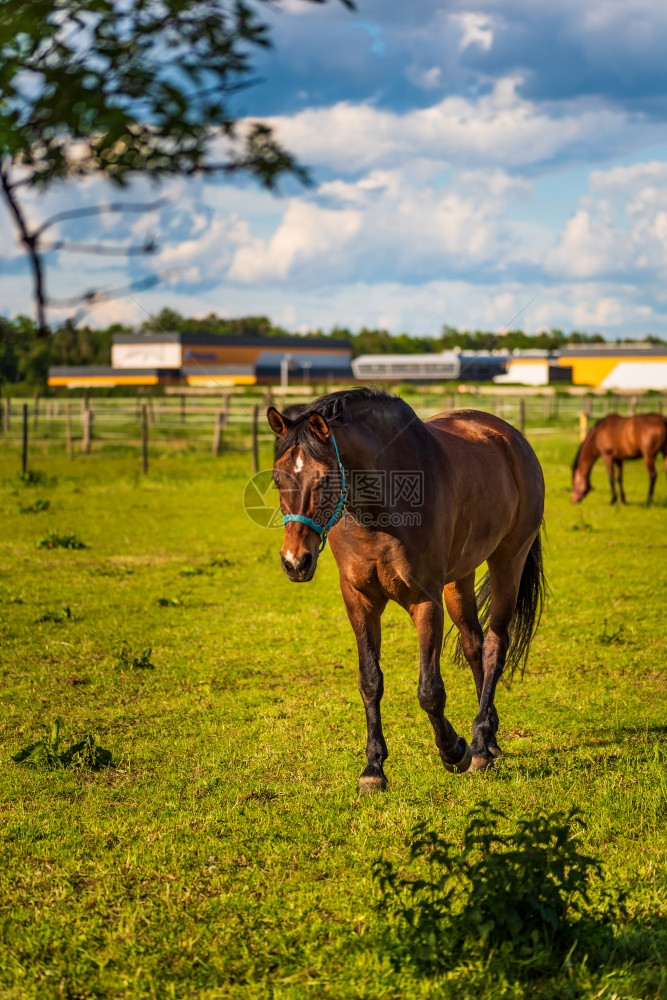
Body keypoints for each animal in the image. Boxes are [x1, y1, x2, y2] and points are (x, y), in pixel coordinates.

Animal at [268, 390, 548, 788]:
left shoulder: (424, 600)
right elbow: (370, 681)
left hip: (508, 560)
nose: (295, 562)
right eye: (277, 478)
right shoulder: (360, 600)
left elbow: (430, 691)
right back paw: (490, 741)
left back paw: (479, 744)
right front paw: (373, 769)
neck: (379, 508)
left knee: (496, 646)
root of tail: (511, 437)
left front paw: (454, 750)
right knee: (474, 645)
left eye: (323, 480)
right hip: (459, 578)